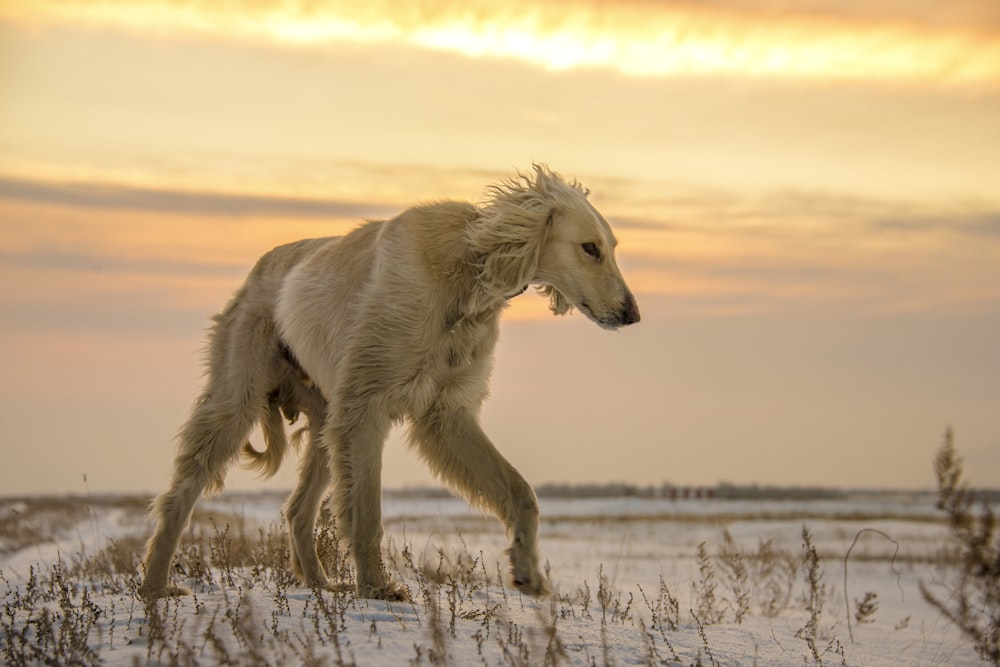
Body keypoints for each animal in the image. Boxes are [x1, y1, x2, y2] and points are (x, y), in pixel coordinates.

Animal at [139, 166, 640, 600]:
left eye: (612, 246)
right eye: (589, 248)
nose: (632, 314)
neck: (466, 272)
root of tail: (258, 268)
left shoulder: (445, 414)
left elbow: (521, 492)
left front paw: (527, 570)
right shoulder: (366, 408)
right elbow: (367, 515)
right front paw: (378, 588)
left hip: (327, 419)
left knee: (298, 508)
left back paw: (321, 585)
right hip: (241, 396)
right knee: (180, 496)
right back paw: (155, 586)